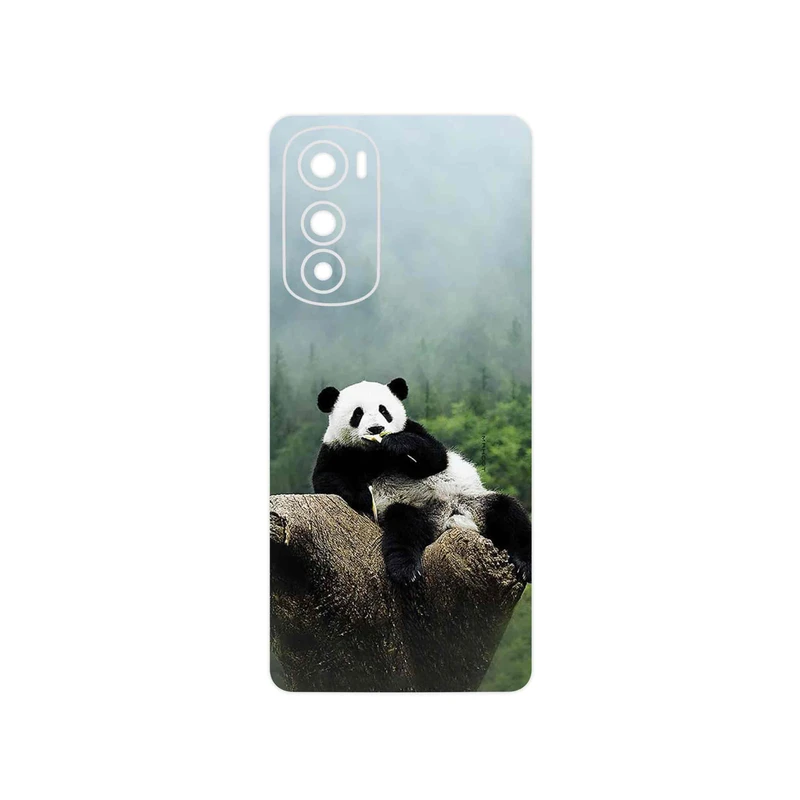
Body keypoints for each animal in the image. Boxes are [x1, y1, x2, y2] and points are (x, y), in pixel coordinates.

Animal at [312, 377, 532, 585]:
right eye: (357, 414)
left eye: (384, 410)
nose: (376, 428)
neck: (375, 453)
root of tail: (447, 517)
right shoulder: (336, 450)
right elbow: (326, 478)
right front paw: (365, 497)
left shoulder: (413, 429)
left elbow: (436, 457)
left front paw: (398, 443)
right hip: (413, 509)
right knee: (404, 527)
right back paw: (405, 570)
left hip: (473, 501)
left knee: (509, 513)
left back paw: (525, 565)